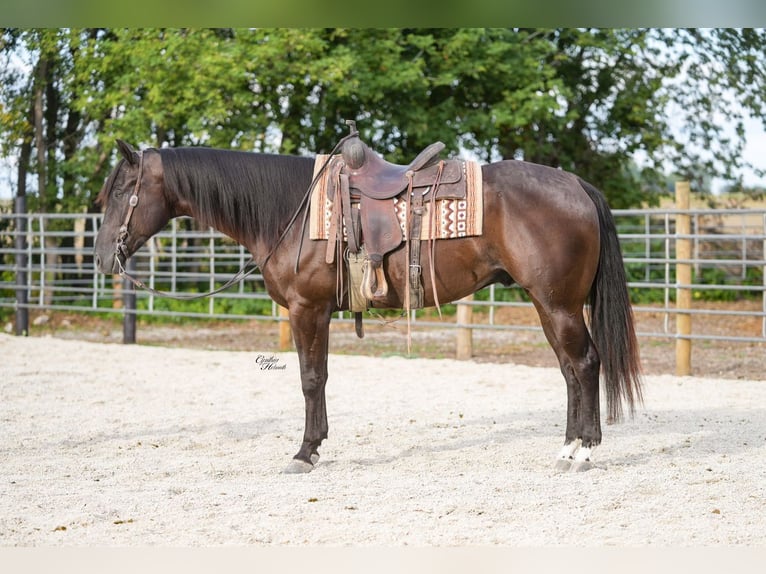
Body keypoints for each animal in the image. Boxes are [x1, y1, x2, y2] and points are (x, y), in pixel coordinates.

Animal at [94, 138, 642, 473]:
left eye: (121, 191)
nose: (101, 257)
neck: (292, 212)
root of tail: (576, 185)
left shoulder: (307, 309)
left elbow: (310, 379)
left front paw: (305, 452)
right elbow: (319, 377)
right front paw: (314, 446)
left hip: (559, 304)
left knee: (584, 364)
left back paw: (584, 452)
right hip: (547, 305)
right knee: (569, 370)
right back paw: (567, 447)